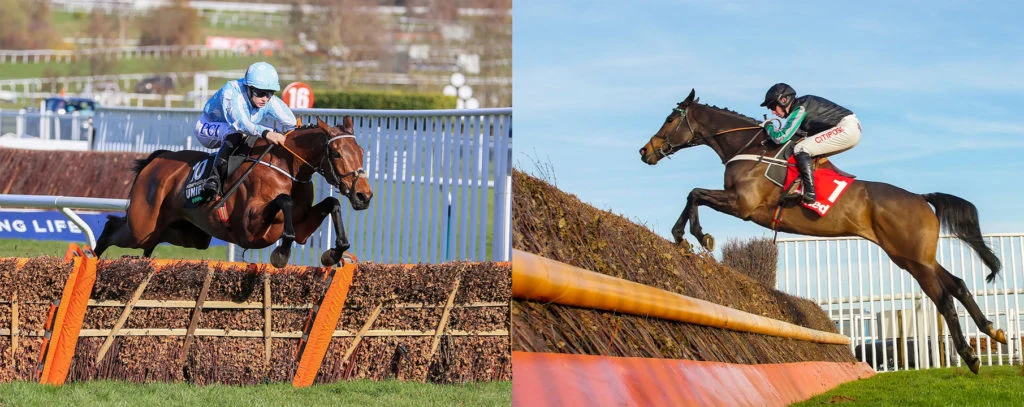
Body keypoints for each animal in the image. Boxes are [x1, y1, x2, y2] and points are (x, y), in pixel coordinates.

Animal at [95, 116, 373, 268]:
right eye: (336, 153)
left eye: (361, 152)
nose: (364, 196)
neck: (286, 169)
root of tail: (155, 160)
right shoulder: (250, 228)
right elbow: (283, 201)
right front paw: (282, 252)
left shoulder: (303, 224)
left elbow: (332, 203)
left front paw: (334, 252)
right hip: (142, 226)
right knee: (111, 229)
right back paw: (91, 258)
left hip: (187, 235)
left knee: (149, 241)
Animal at [638, 89, 1005, 373]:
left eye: (670, 119)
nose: (645, 151)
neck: (751, 147)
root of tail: (920, 198)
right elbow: (694, 195)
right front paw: (686, 235)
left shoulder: (743, 205)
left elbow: (695, 193)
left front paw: (695, 235)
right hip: (912, 257)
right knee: (957, 285)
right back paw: (992, 331)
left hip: (914, 260)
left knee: (943, 297)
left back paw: (971, 357)